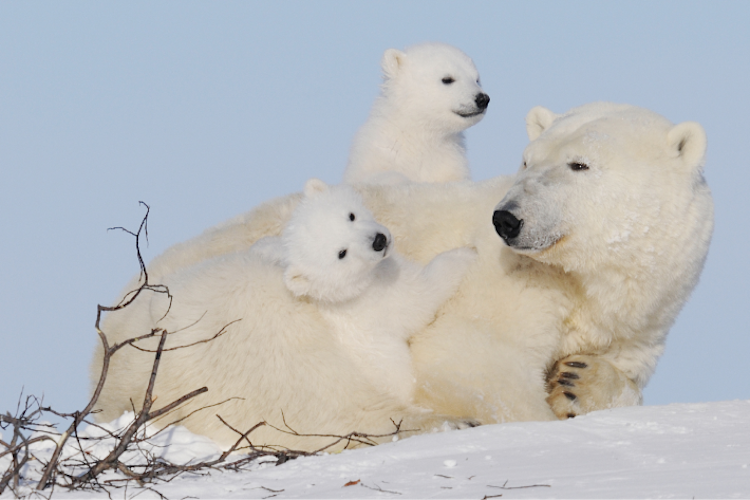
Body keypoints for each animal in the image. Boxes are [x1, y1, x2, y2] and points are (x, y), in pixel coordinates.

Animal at [92, 179, 477, 451]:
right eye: (341, 253)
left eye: (351, 215)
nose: (379, 241)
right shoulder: (375, 302)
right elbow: (419, 297)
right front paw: (465, 254)